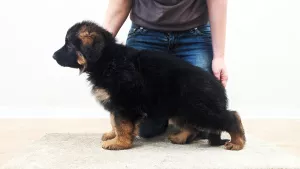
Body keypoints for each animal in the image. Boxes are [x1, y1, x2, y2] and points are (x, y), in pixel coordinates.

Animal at [52, 20, 246, 151]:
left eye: (68, 45)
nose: (53, 56)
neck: (108, 60)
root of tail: (217, 85)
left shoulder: (124, 104)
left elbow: (121, 124)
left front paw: (119, 143)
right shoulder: (117, 103)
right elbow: (114, 121)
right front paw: (112, 135)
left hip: (199, 109)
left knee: (231, 116)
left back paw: (237, 142)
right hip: (182, 108)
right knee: (191, 125)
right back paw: (180, 138)